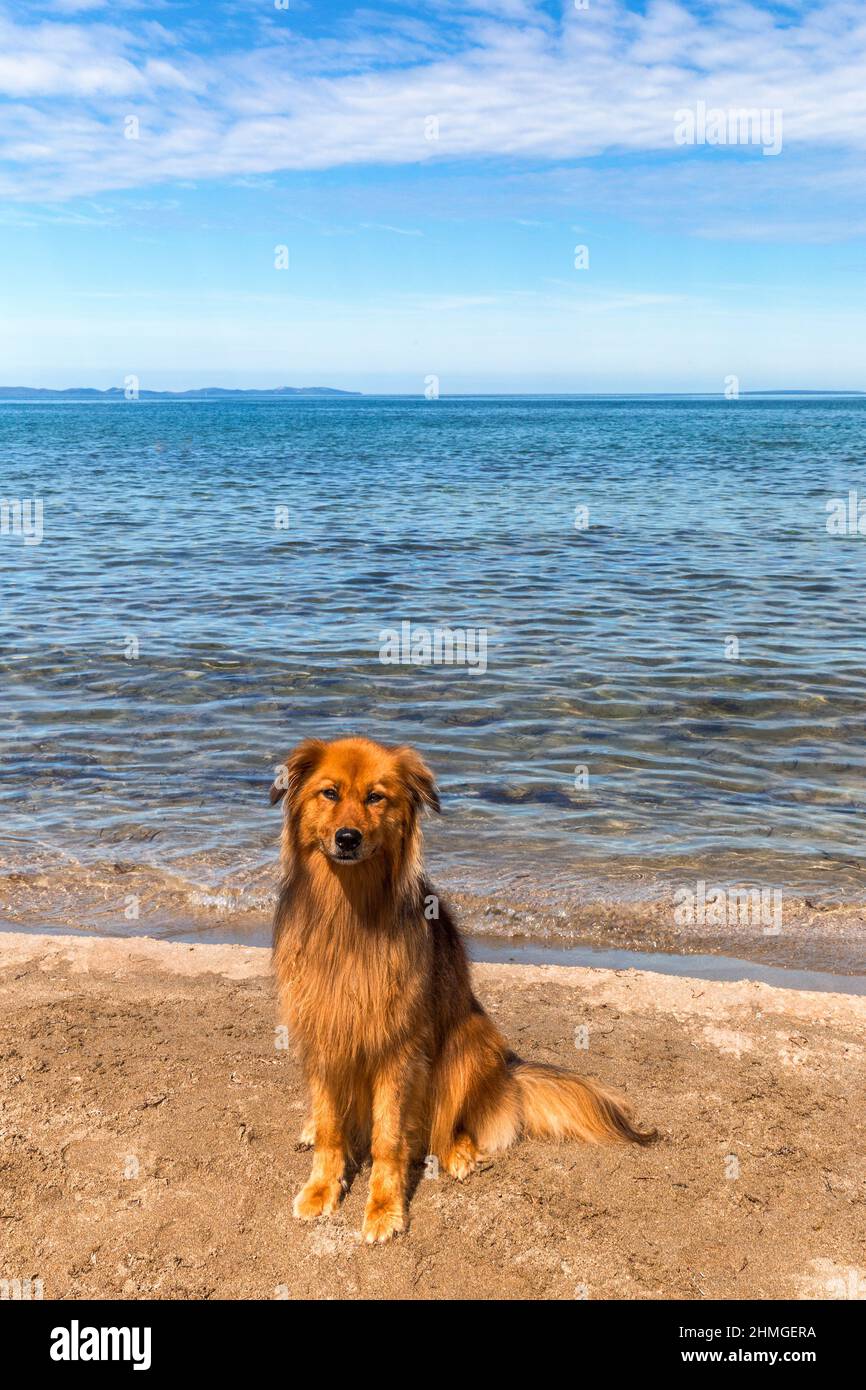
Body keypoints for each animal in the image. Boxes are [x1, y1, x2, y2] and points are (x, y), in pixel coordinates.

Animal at [268, 733, 653, 1245]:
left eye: (375, 797)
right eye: (329, 793)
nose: (348, 838)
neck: (348, 915)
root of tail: (509, 1073)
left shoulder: (398, 1047)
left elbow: (388, 1140)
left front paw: (384, 1209)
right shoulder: (323, 1031)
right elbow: (332, 1129)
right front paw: (321, 1187)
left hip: (471, 1039)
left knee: (451, 1122)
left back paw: (458, 1152)